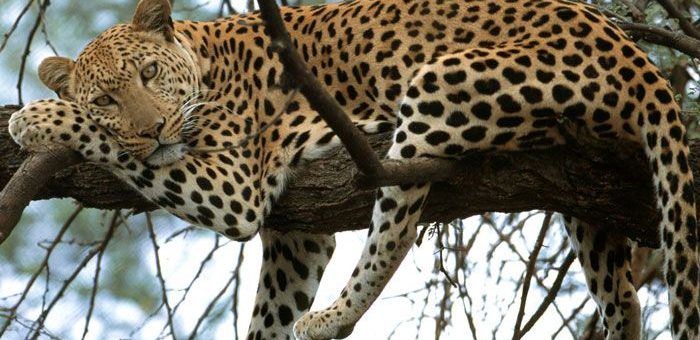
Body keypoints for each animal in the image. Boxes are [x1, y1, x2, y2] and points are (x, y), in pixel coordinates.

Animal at [6, 0, 700, 338]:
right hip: (587, 194)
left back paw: (333, 319)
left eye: (149, 75)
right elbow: (268, 315)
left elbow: (114, 148)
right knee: (623, 296)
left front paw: (35, 117)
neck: (205, 60)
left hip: (436, 86)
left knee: (397, 230)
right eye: (107, 98)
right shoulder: (297, 237)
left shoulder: (235, 187)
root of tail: (632, 51)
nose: (152, 130)